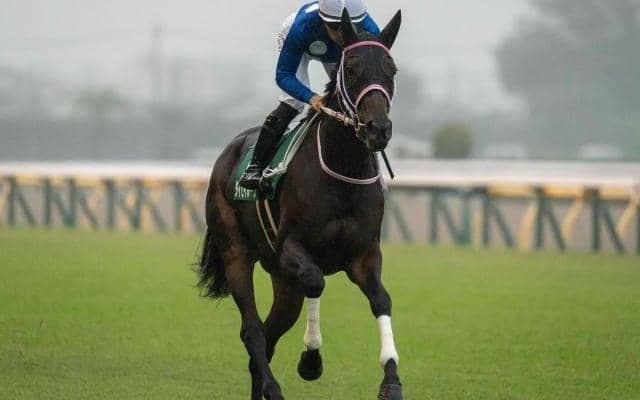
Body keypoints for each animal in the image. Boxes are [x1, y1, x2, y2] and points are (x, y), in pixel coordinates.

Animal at [198, 9, 403, 400]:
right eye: (351, 68)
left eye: (392, 69)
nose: (378, 129)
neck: (342, 169)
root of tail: (226, 153)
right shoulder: (292, 248)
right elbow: (315, 281)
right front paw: (311, 360)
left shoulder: (365, 255)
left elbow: (382, 300)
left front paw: (391, 380)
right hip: (237, 253)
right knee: (253, 330)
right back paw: (273, 387)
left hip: (282, 281)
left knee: (267, 336)